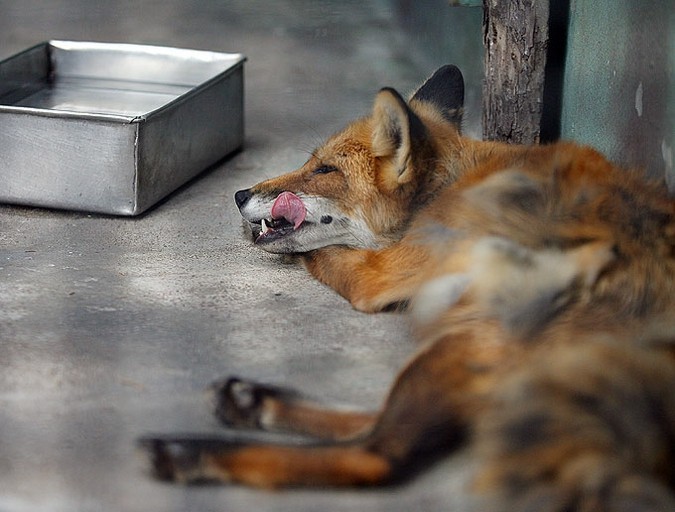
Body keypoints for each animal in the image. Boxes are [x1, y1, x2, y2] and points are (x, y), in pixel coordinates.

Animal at [139, 66, 675, 510]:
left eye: (325, 170)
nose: (238, 194)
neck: (448, 187)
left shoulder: (381, 275)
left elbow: (325, 256)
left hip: (464, 346)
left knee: (378, 455)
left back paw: (192, 452)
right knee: (379, 426)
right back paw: (254, 404)